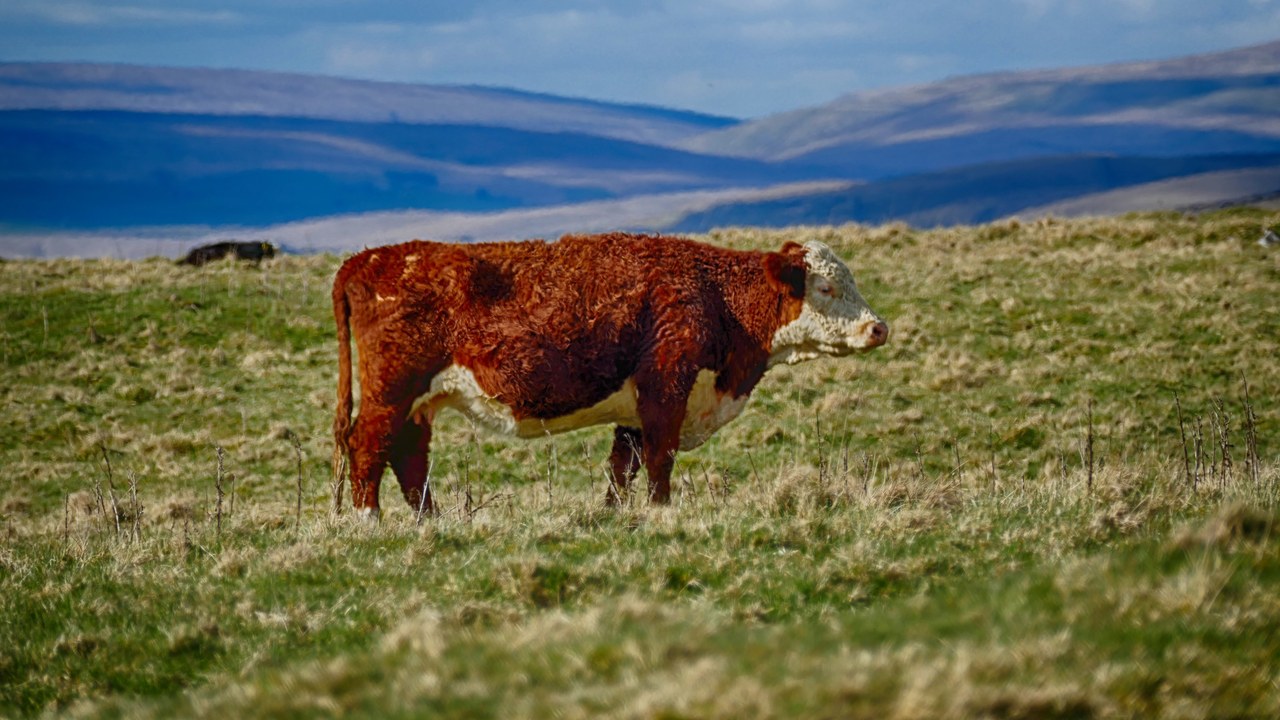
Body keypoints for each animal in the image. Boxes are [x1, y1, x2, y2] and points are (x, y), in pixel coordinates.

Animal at [331, 232, 888, 519]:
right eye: (826, 288)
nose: (878, 327)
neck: (713, 294)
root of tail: (369, 257)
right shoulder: (667, 385)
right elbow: (660, 459)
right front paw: (662, 513)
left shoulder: (636, 409)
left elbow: (624, 466)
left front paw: (615, 515)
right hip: (391, 390)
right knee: (368, 447)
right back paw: (369, 520)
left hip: (418, 401)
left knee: (408, 457)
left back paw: (432, 521)